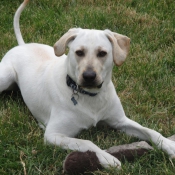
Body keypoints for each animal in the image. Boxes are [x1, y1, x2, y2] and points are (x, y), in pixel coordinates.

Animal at [0, 0, 175, 170]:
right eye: (79, 52)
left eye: (102, 53)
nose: (89, 76)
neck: (90, 96)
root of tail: (22, 45)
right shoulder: (53, 135)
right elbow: (87, 142)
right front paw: (107, 158)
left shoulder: (120, 120)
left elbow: (150, 131)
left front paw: (169, 145)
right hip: (6, 77)